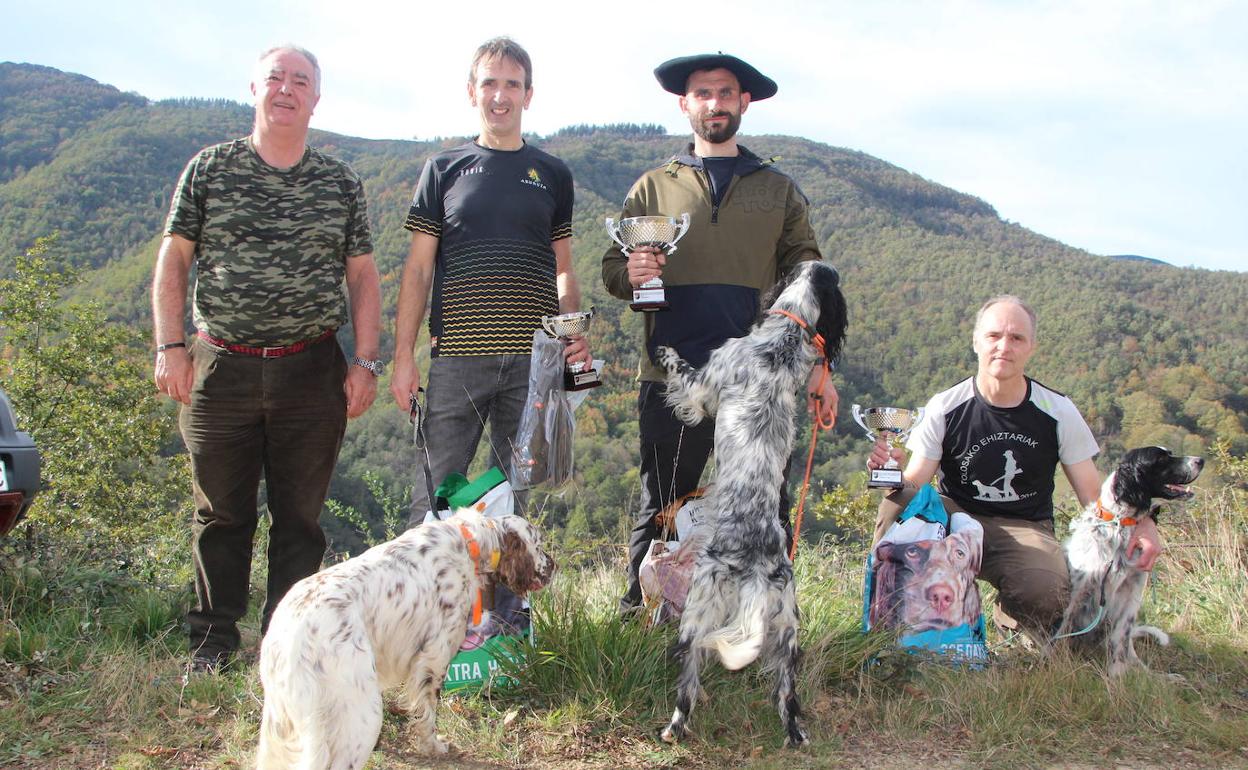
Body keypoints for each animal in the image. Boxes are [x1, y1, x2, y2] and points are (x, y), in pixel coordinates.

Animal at [255, 511, 554, 768]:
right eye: (538, 545)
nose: (554, 565)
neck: (471, 543)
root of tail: (286, 635)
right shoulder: (434, 656)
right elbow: (428, 711)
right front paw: (434, 746)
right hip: (361, 714)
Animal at [653, 258, 848, 743]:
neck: (783, 339)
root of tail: (758, 572)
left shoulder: (705, 386)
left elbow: (686, 379)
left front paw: (664, 351)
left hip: (698, 609)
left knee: (688, 677)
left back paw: (674, 727)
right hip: (787, 628)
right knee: (787, 692)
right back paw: (794, 733)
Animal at [1058, 444, 1203, 673]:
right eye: (1161, 459)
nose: (1200, 460)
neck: (1120, 523)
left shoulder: (1133, 591)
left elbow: (1122, 638)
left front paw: (1118, 674)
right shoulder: (1080, 587)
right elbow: (1062, 628)